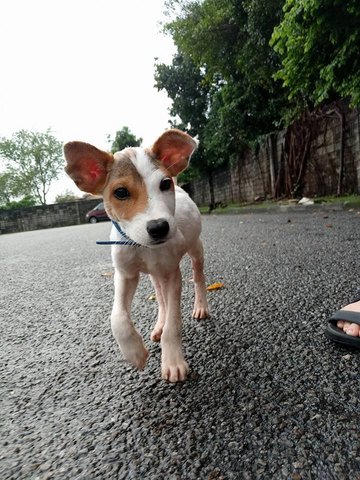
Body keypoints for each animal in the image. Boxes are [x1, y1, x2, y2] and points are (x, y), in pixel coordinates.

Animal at [64, 128, 208, 382]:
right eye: (120, 192)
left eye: (164, 183)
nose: (159, 227)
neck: (142, 247)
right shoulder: (125, 274)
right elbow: (117, 318)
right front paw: (135, 353)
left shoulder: (173, 275)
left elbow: (174, 323)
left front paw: (173, 361)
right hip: (155, 275)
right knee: (160, 298)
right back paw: (158, 325)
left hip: (195, 250)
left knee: (198, 278)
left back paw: (200, 307)